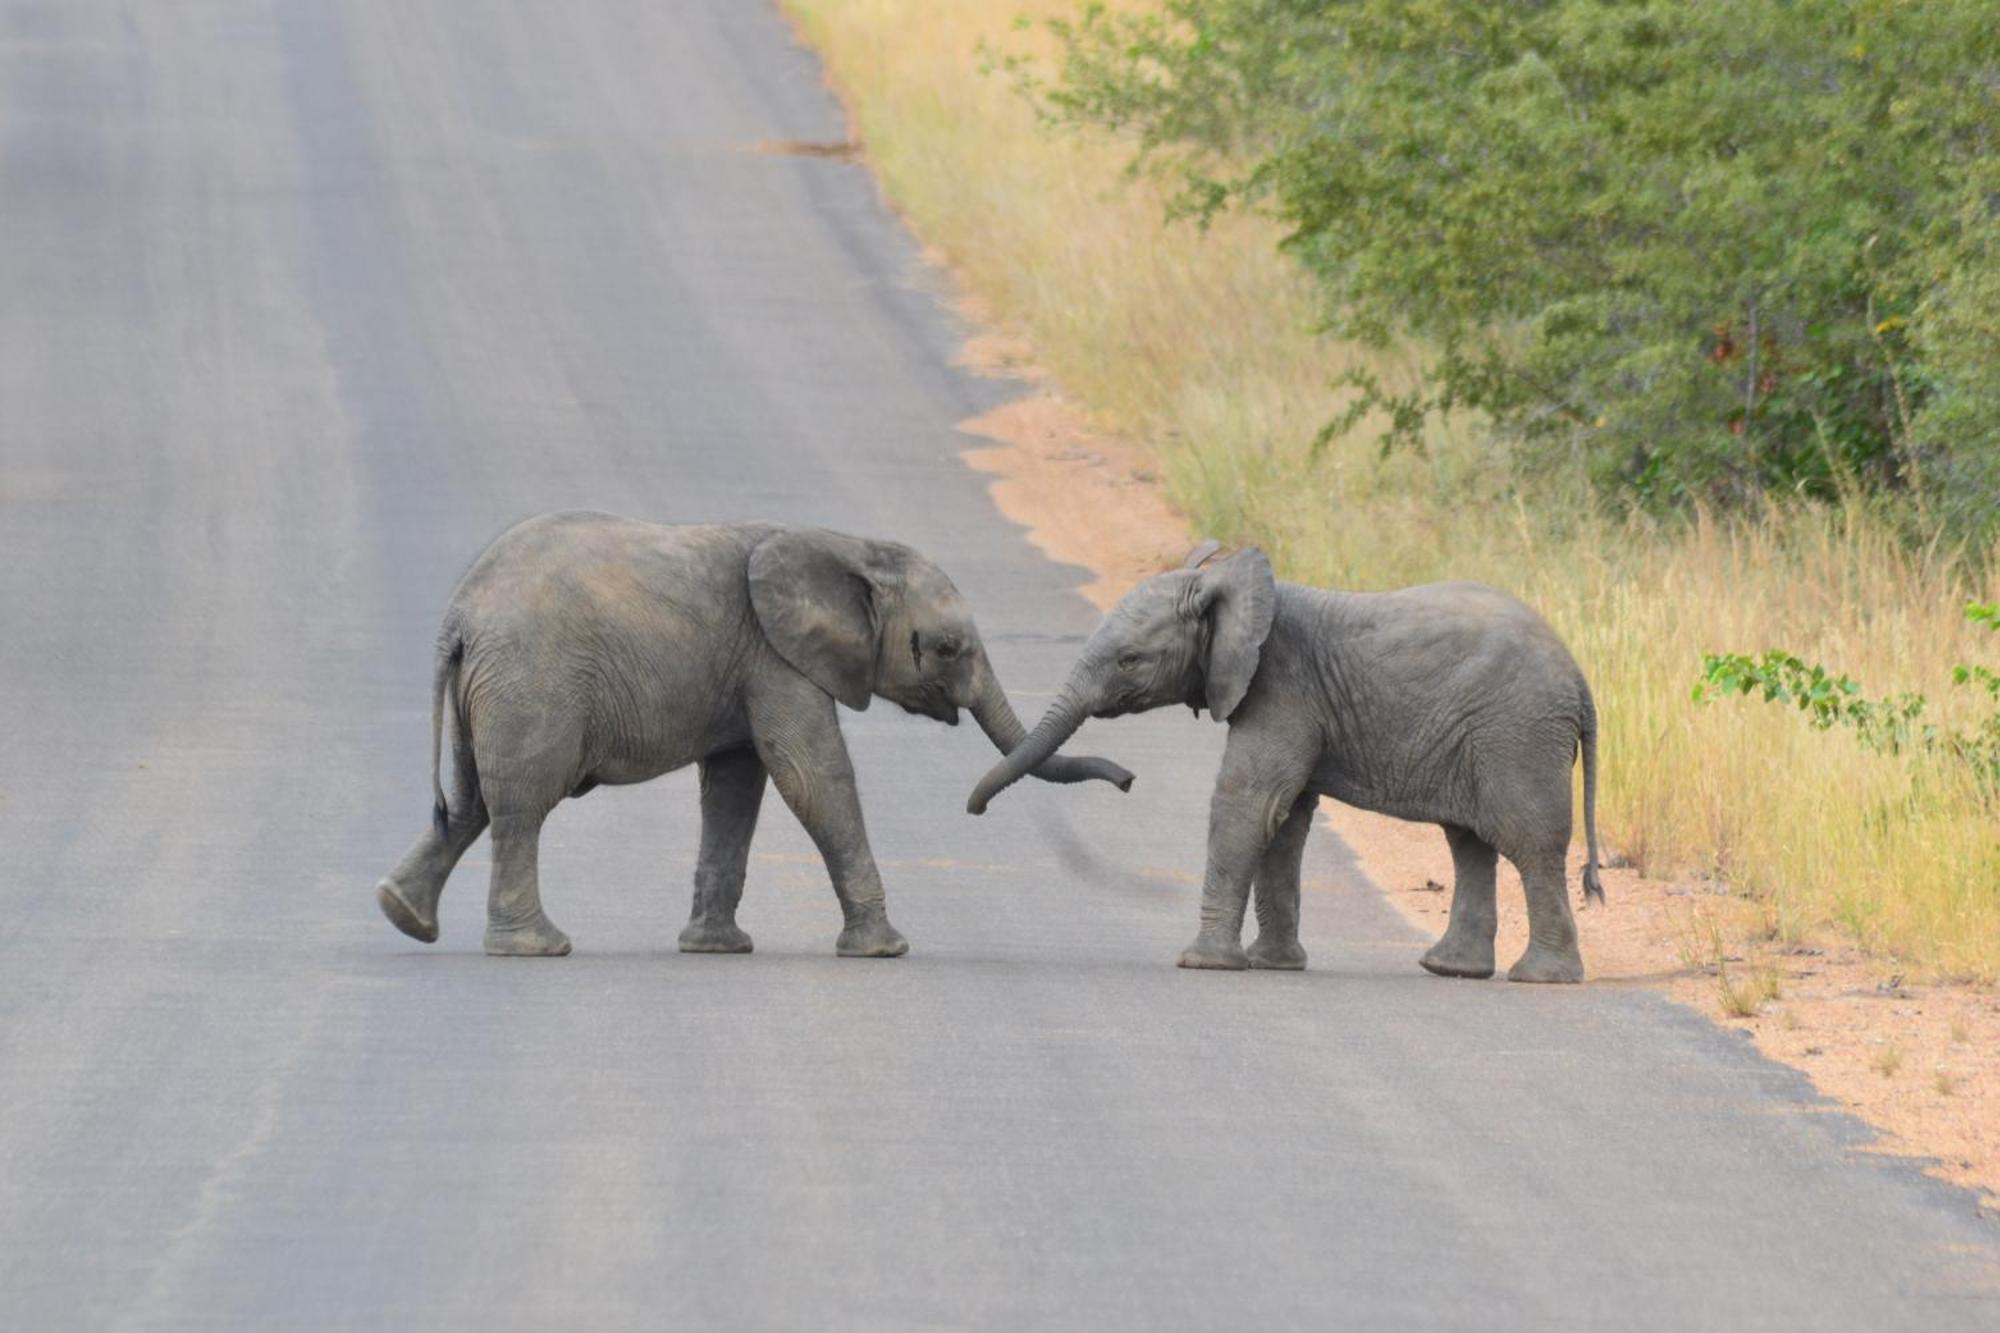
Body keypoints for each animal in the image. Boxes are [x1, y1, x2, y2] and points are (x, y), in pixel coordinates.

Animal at [374, 508, 1128, 956]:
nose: (1127, 779)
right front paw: (885, 949)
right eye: (945, 648)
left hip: (494, 690)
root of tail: (460, 618)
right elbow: (811, 775)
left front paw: (716, 947)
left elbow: (737, 786)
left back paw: (405, 917)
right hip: (531, 683)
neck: (848, 545)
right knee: (521, 806)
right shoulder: (778, 659)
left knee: (470, 801)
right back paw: (538, 947)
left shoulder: (752, 666)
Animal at [968, 536, 1608, 976]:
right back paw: (1449, 969)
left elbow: (1249, 803)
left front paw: (1203, 963)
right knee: (1469, 842)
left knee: (1527, 841)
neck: (1233, 589)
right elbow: (1285, 819)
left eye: (1129, 660)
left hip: (1517, 732)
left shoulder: (1282, 690)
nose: (1127, 780)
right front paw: (1272, 964)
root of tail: (1580, 678)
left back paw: (1540, 977)